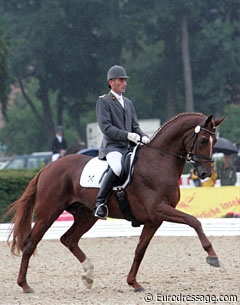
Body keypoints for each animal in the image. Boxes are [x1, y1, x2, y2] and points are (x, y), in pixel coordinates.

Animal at [4, 111, 224, 292]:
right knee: (30, 243)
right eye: (203, 140)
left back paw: (89, 275)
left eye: (215, 140)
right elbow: (195, 221)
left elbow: (140, 250)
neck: (159, 162)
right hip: (49, 212)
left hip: (86, 215)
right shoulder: (159, 210)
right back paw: (25, 285)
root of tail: (47, 168)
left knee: (69, 239)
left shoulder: (154, 219)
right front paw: (212, 256)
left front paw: (133, 283)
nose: (205, 173)